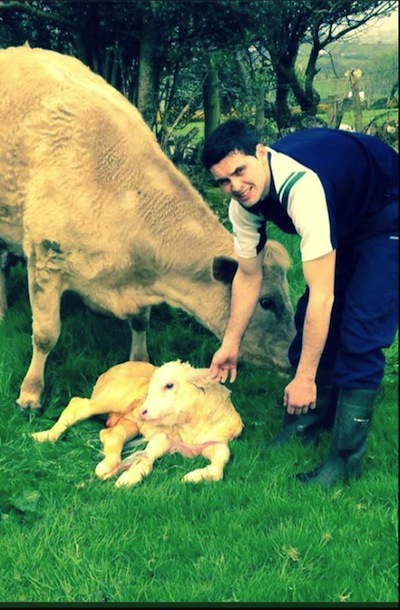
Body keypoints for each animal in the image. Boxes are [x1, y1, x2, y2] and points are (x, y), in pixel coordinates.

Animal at [0, 45, 294, 408]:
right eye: (267, 302)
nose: (295, 355)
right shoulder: (45, 261)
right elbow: (45, 335)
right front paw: (31, 392)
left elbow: (141, 322)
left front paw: (139, 362)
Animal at [32, 358, 244, 486]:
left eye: (169, 385)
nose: (143, 410)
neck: (189, 428)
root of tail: (115, 368)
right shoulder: (162, 436)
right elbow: (148, 456)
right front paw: (129, 478)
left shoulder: (216, 443)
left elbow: (220, 464)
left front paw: (193, 477)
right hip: (114, 398)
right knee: (77, 405)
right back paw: (45, 436)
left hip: (129, 419)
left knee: (110, 433)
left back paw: (109, 464)